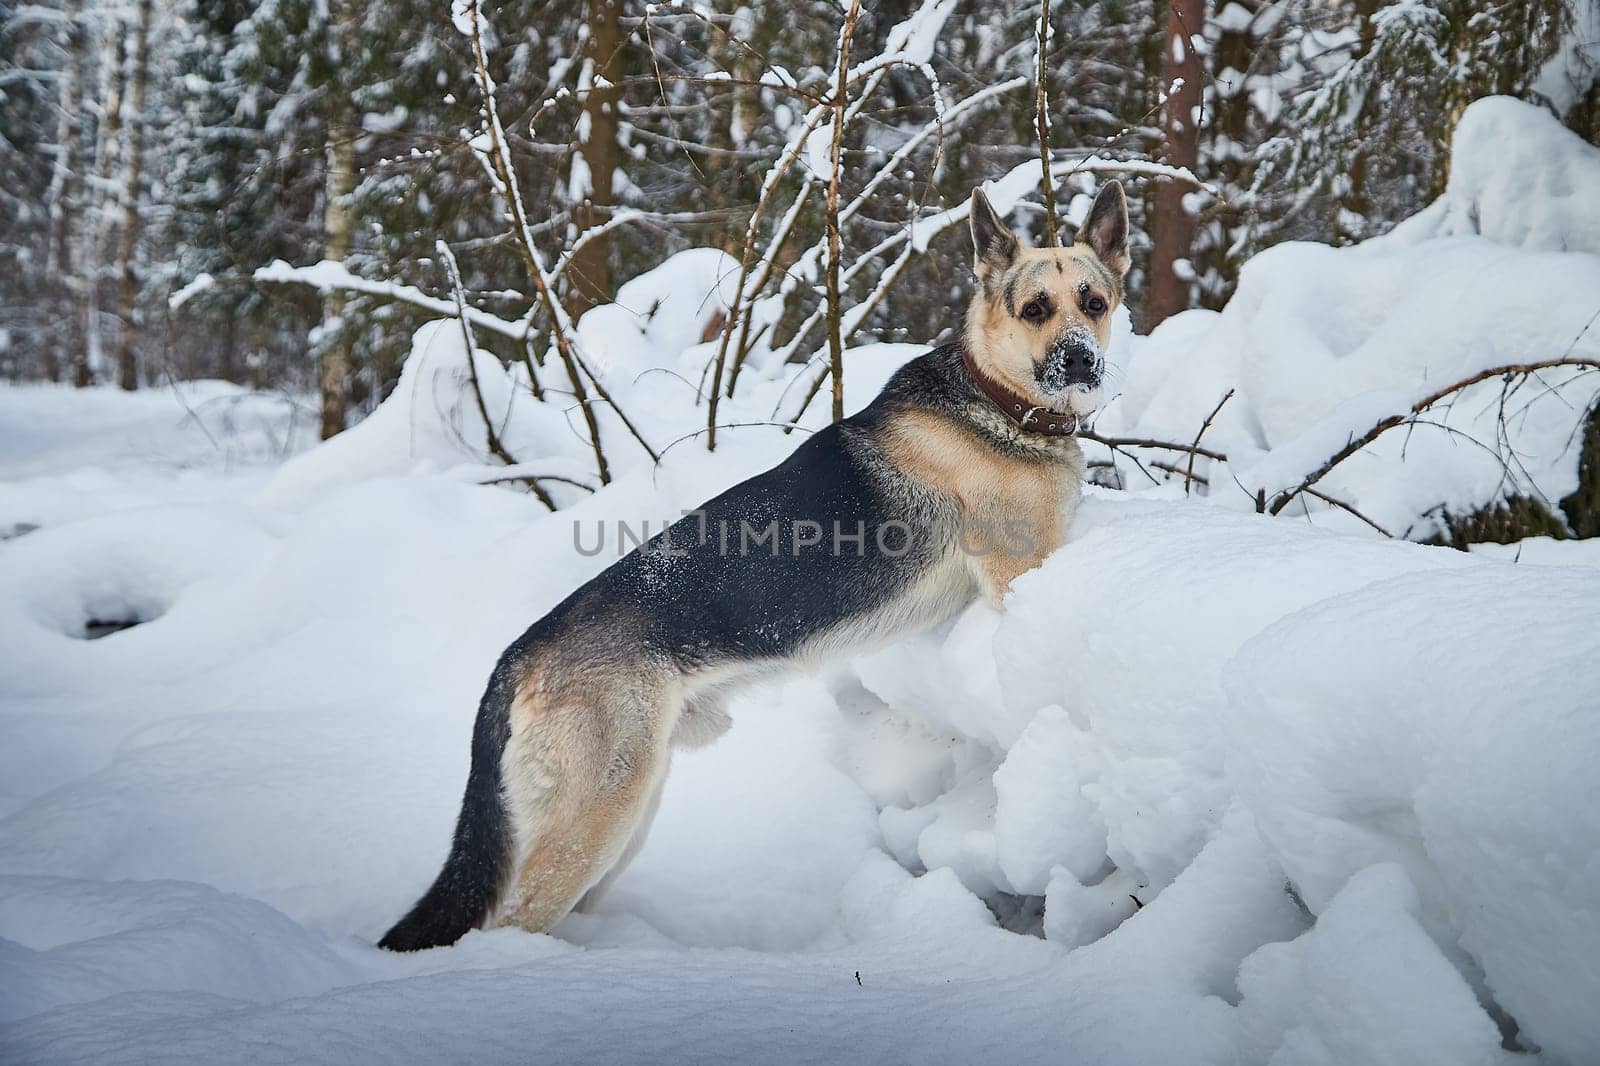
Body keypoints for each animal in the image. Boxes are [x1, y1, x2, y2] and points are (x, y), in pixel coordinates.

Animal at [377, 180, 1126, 947]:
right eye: (1035, 309)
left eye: (1094, 303)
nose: (1079, 360)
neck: (995, 397)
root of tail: (517, 657)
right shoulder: (1017, 575)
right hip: (595, 820)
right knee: (509, 923)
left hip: (627, 816)